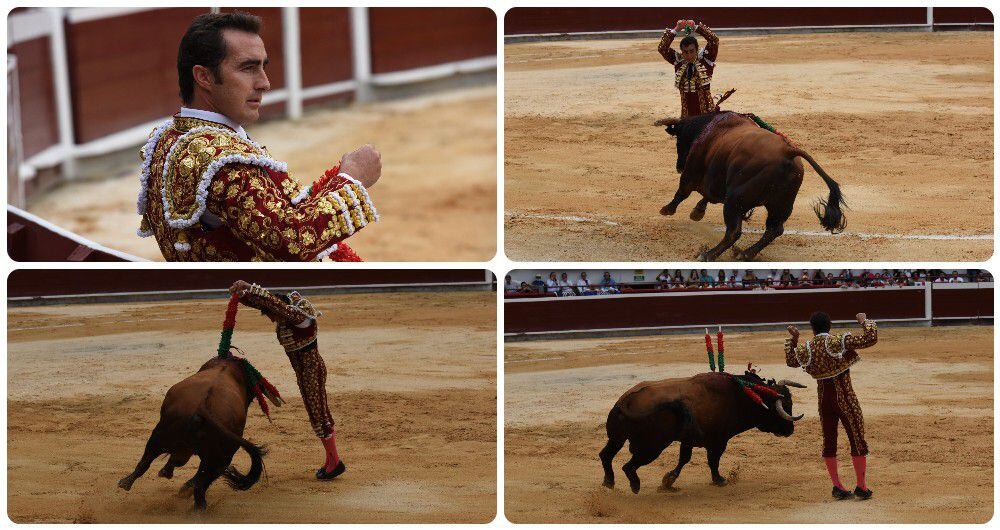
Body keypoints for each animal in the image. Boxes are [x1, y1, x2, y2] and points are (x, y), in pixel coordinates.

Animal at [118, 354, 266, 508]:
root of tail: (203, 407)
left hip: (163, 437)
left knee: (149, 461)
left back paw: (130, 481)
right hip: (219, 457)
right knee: (200, 483)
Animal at [596, 372, 808, 490]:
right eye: (784, 406)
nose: (790, 430)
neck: (740, 396)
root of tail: (625, 401)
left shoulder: (688, 441)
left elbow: (684, 459)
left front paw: (668, 481)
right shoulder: (718, 441)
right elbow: (713, 460)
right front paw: (719, 480)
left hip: (617, 438)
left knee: (606, 455)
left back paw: (609, 482)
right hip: (651, 447)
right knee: (628, 466)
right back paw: (635, 485)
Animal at [656, 111, 844, 260]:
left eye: (679, 140)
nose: (679, 166)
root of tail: (788, 152)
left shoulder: (692, 174)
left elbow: (683, 192)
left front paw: (667, 209)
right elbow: (707, 196)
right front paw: (697, 211)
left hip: (734, 200)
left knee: (734, 232)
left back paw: (708, 255)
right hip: (781, 204)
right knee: (774, 229)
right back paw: (745, 253)